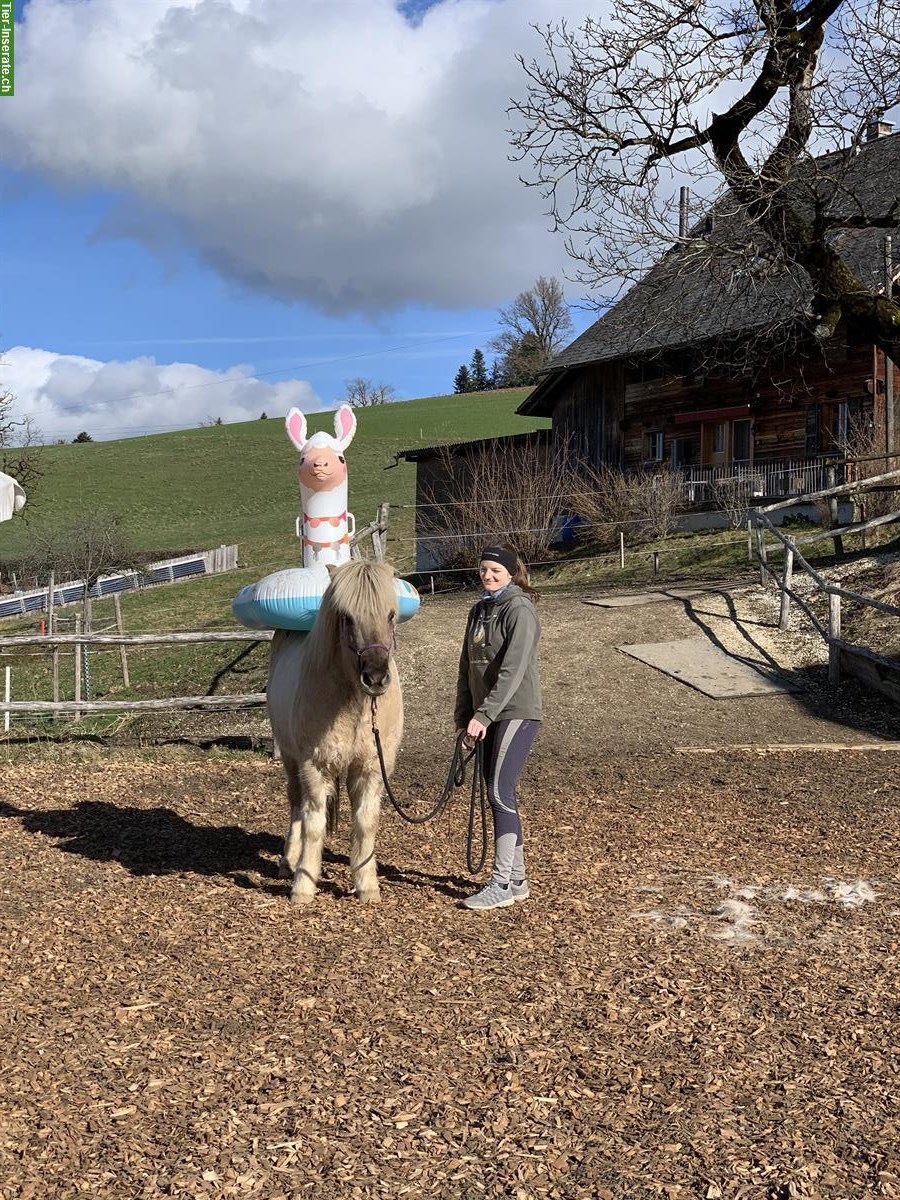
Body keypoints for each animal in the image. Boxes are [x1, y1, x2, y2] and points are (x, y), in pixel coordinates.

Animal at [266, 556, 403, 902]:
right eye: (346, 617)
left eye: (391, 614)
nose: (376, 678)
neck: (354, 705)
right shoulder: (314, 765)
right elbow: (313, 823)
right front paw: (303, 886)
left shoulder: (371, 768)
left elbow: (366, 823)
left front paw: (367, 885)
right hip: (291, 760)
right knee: (296, 806)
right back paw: (288, 862)